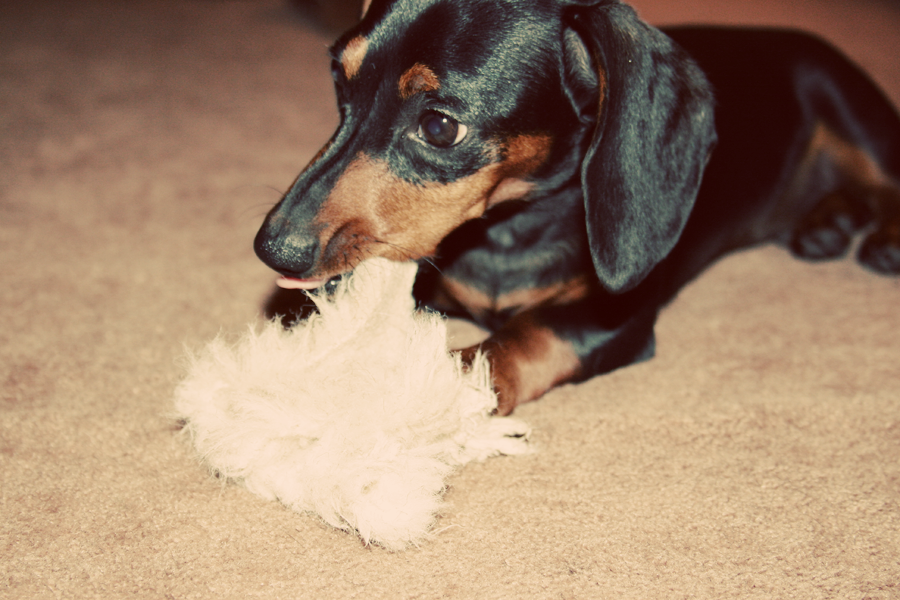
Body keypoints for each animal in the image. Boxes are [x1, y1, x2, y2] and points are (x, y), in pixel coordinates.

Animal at [254, 0, 900, 415]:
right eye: (341, 85)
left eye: (439, 127)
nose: (272, 248)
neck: (509, 232)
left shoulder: (611, 319)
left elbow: (525, 337)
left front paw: (444, 379)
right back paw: (828, 224)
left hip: (851, 110)